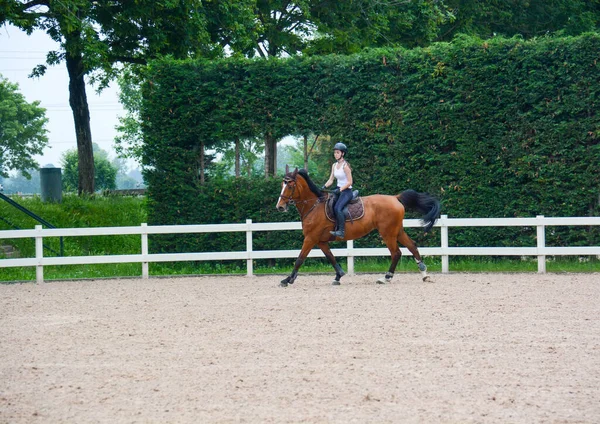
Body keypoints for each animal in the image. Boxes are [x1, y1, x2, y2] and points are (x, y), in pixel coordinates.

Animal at [276, 167, 440, 286]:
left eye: (290, 185)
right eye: (282, 184)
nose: (280, 207)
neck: (314, 205)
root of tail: (395, 198)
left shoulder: (310, 238)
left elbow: (299, 258)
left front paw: (287, 280)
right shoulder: (321, 241)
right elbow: (331, 257)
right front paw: (338, 276)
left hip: (387, 233)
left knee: (396, 253)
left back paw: (386, 278)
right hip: (397, 231)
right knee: (412, 246)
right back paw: (424, 275)